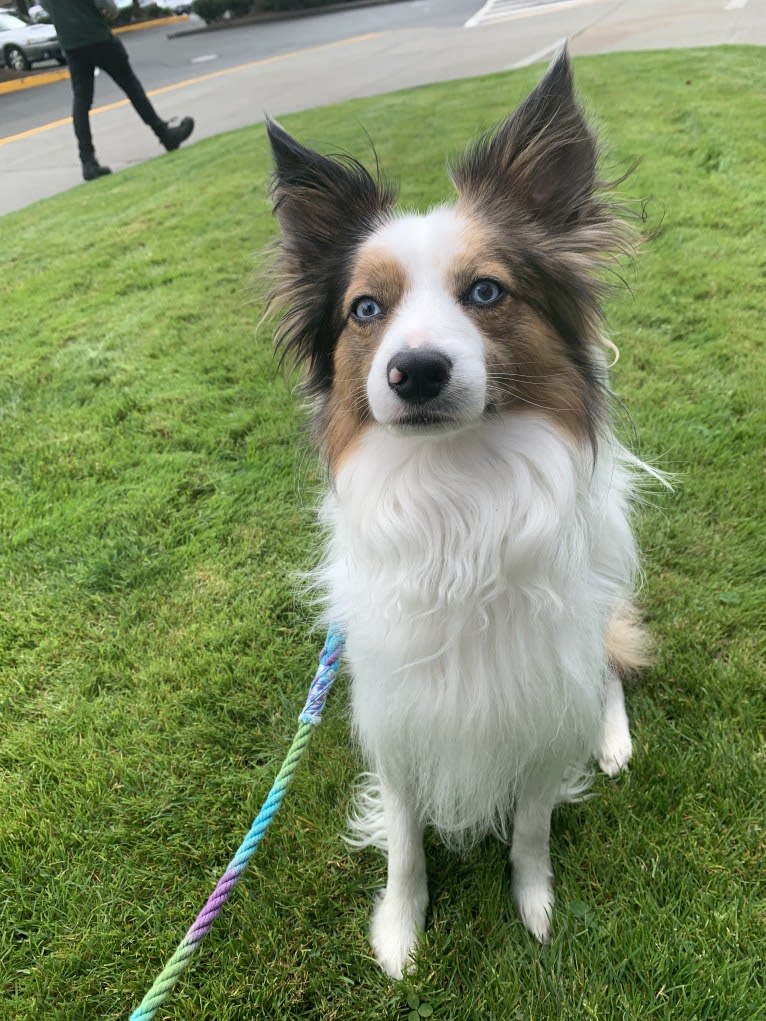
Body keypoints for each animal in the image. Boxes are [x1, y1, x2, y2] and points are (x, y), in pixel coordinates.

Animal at [263, 51, 653, 976]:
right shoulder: (397, 703)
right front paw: (400, 931)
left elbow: (533, 825)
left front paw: (536, 906)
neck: (458, 492)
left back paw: (612, 738)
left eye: (485, 291)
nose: (417, 372)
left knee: (609, 664)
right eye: (366, 310)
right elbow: (405, 834)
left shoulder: (541, 696)